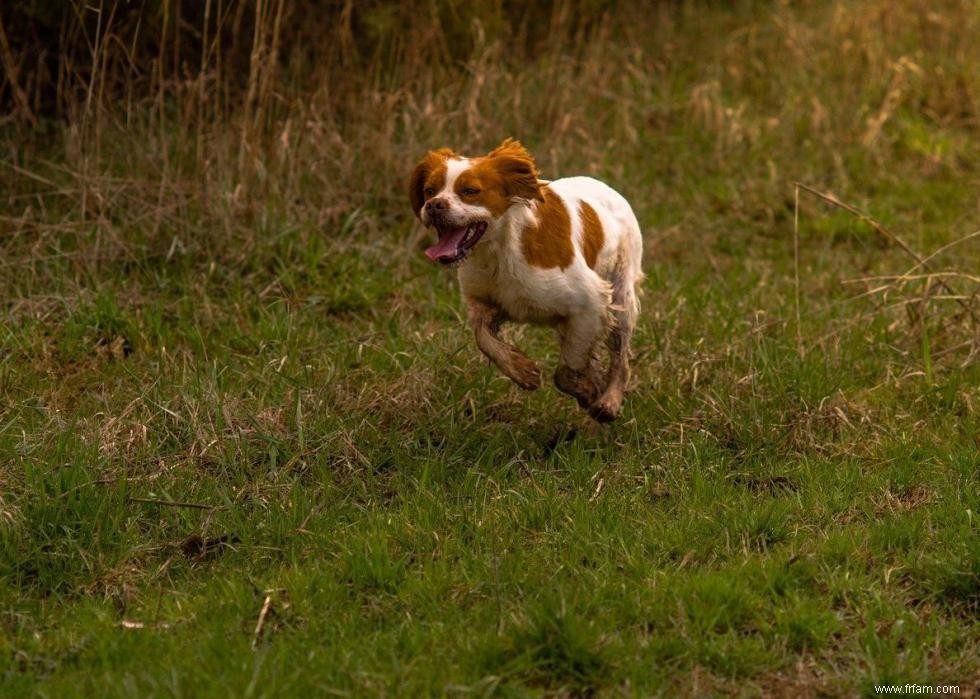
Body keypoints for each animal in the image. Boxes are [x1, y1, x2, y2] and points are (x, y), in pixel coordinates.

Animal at [408, 137, 644, 422]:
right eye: (430, 190)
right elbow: (483, 339)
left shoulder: (591, 302)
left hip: (622, 297)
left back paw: (609, 401)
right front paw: (522, 370)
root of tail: (608, 189)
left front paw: (589, 391)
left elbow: (566, 371)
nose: (433, 205)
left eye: (470, 191)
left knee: (621, 358)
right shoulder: (484, 303)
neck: (499, 251)